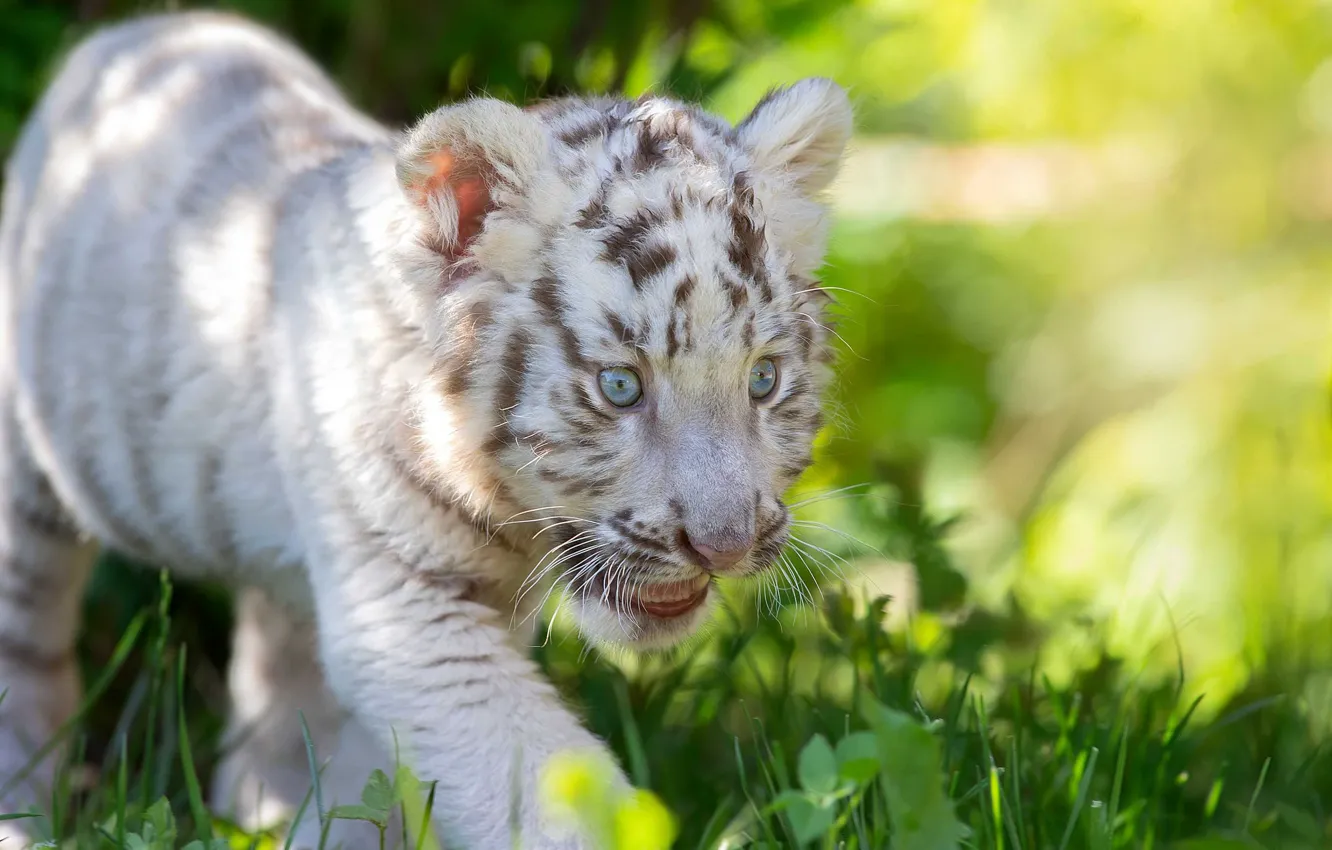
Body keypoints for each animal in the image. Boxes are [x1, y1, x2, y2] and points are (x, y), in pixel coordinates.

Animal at [0, 10, 850, 849]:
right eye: (620, 387)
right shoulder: (409, 609)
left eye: (764, 379)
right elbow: (542, 789)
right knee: (25, 641)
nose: (725, 546)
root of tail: (137, 31)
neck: (505, 511)